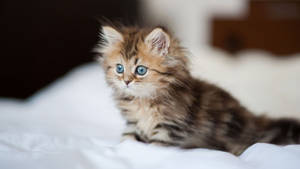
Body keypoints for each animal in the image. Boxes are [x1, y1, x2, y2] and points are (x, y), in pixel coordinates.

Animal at [95, 24, 300, 155]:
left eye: (141, 70)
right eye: (119, 68)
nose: (126, 82)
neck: (144, 101)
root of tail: (255, 122)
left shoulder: (169, 129)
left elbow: (155, 148)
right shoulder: (133, 124)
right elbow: (127, 140)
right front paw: (121, 149)